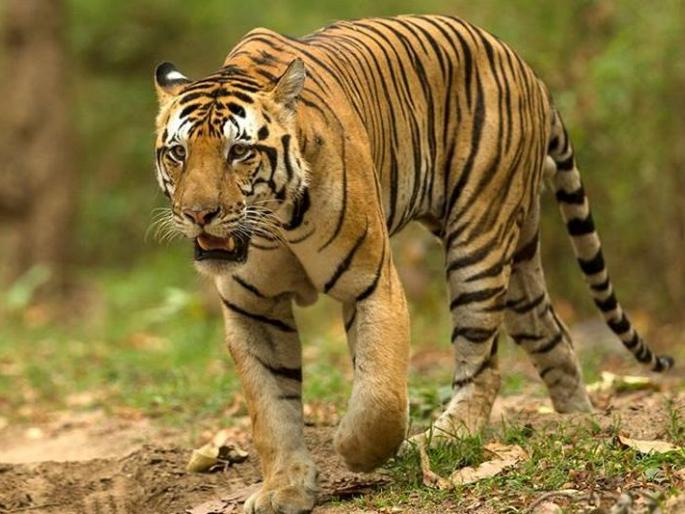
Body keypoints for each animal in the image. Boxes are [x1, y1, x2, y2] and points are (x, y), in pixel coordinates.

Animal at [152, 14, 673, 514]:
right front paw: (285, 488)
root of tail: (530, 72)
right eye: (178, 152)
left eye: (238, 151)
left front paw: (356, 451)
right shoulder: (253, 309)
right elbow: (271, 411)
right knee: (551, 334)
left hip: (478, 239)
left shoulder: (371, 284)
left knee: (484, 363)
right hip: (519, 252)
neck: (276, 222)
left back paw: (443, 438)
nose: (199, 213)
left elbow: (379, 397)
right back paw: (576, 423)